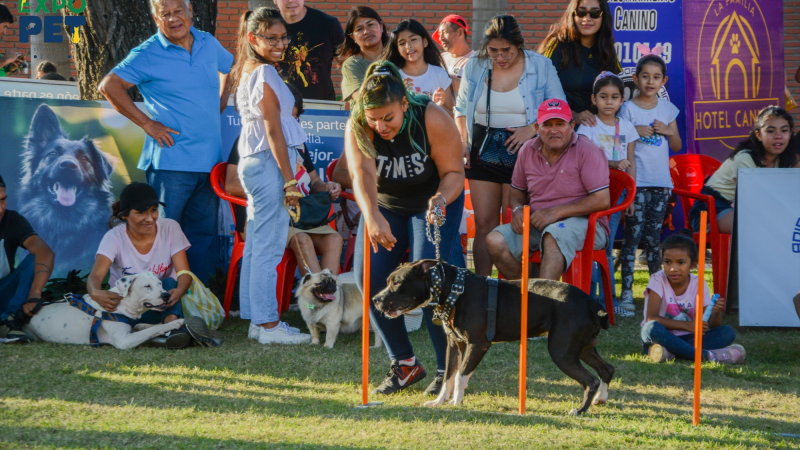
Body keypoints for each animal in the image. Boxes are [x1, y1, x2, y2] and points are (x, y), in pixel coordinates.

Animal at [23, 272, 184, 350]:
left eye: (159, 283)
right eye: (147, 286)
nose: (166, 295)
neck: (123, 303)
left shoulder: (131, 327)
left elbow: (146, 326)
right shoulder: (124, 341)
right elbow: (150, 330)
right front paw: (175, 323)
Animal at [374, 260, 612, 414]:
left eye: (397, 283)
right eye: (388, 280)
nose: (375, 299)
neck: (453, 290)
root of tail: (591, 303)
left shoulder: (477, 345)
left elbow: (460, 376)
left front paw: (456, 403)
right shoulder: (454, 345)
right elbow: (449, 377)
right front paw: (440, 402)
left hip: (561, 351)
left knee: (590, 380)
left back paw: (580, 410)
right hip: (582, 348)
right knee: (607, 369)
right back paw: (600, 398)